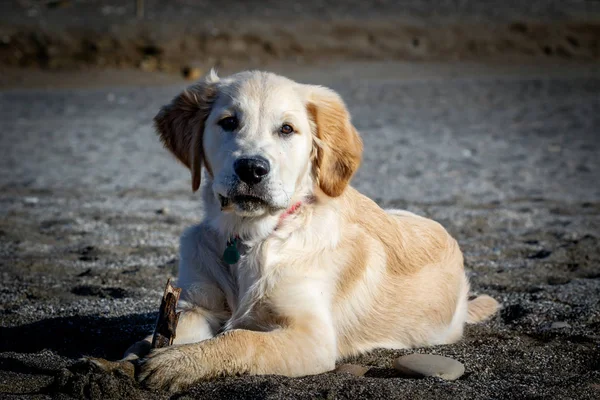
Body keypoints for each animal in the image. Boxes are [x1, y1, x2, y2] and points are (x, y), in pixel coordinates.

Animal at [125, 69, 496, 390]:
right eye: (228, 122)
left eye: (287, 129)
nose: (252, 168)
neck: (252, 236)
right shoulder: (200, 305)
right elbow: (169, 328)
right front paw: (140, 352)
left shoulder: (312, 337)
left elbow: (241, 339)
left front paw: (178, 362)